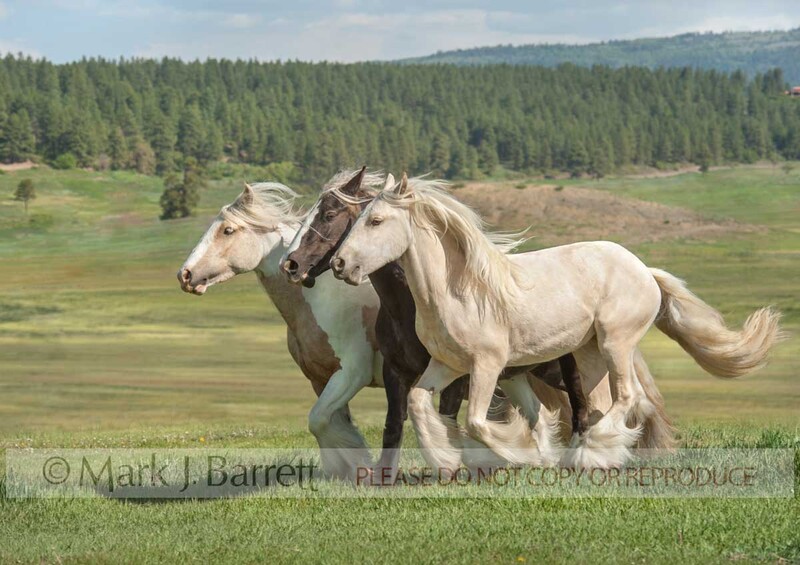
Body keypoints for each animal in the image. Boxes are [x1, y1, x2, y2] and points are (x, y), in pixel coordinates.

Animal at [280, 167, 581, 477]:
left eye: (329, 214)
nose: (291, 265)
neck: (408, 305)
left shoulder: (456, 377)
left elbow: (447, 422)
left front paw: (449, 467)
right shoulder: (397, 373)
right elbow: (394, 426)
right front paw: (384, 476)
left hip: (562, 371)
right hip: (515, 377)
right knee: (539, 416)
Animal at [331, 174, 782, 470]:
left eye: (375, 221)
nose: (339, 264)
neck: (457, 291)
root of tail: (644, 271)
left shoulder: (488, 365)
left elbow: (477, 422)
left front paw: (523, 453)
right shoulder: (446, 365)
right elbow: (419, 405)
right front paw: (447, 459)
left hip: (616, 343)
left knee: (627, 398)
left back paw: (592, 454)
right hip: (588, 353)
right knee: (599, 405)